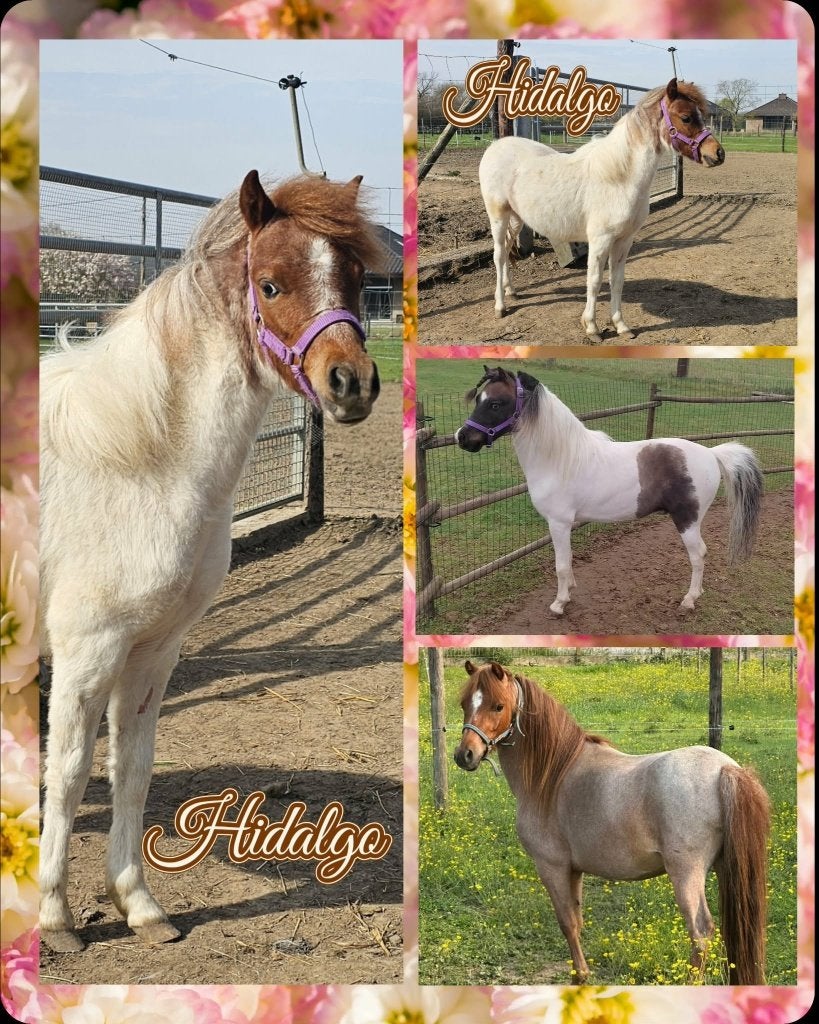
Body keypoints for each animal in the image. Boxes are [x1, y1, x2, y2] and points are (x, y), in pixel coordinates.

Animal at [39, 169, 382, 952]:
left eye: (355, 278)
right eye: (272, 284)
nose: (351, 384)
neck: (141, 456)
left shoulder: (156, 647)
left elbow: (132, 768)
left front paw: (140, 907)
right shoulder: (85, 647)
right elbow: (68, 772)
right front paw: (56, 919)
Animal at [454, 660, 770, 985]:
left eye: (498, 705)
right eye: (465, 704)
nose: (465, 755)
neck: (554, 775)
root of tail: (725, 769)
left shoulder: (552, 867)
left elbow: (567, 923)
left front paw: (579, 977)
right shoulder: (574, 870)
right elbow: (577, 921)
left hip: (686, 874)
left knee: (701, 933)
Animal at [455, 366, 763, 616]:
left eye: (496, 403)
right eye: (479, 399)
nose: (462, 437)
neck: (560, 459)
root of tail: (712, 453)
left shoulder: (558, 523)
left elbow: (561, 565)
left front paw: (559, 604)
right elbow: (568, 562)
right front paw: (570, 590)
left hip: (687, 521)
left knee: (698, 556)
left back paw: (689, 600)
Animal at [478, 78, 725, 341]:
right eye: (686, 117)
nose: (718, 153)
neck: (619, 177)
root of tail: (496, 146)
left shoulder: (624, 240)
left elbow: (617, 280)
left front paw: (621, 326)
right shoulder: (600, 239)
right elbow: (594, 281)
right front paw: (592, 327)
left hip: (516, 218)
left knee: (507, 252)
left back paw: (511, 292)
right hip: (498, 216)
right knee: (498, 255)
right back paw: (500, 306)